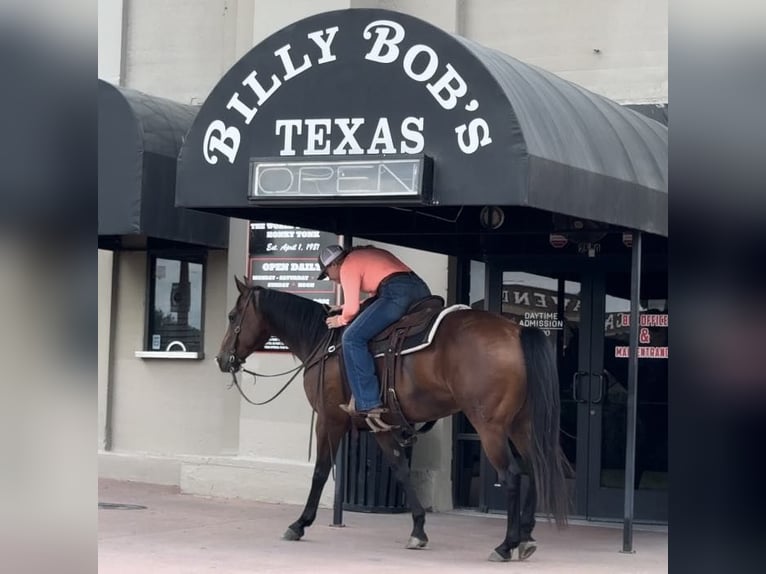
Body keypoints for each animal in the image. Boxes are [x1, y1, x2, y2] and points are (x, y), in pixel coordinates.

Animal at [215, 277, 570, 562]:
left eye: (232, 316)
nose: (221, 359)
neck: (323, 342)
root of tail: (516, 330)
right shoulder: (381, 425)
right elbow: (400, 469)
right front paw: (419, 529)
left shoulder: (329, 420)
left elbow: (320, 472)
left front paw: (299, 524)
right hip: (521, 426)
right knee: (533, 468)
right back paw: (526, 537)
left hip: (491, 428)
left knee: (512, 476)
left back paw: (506, 545)